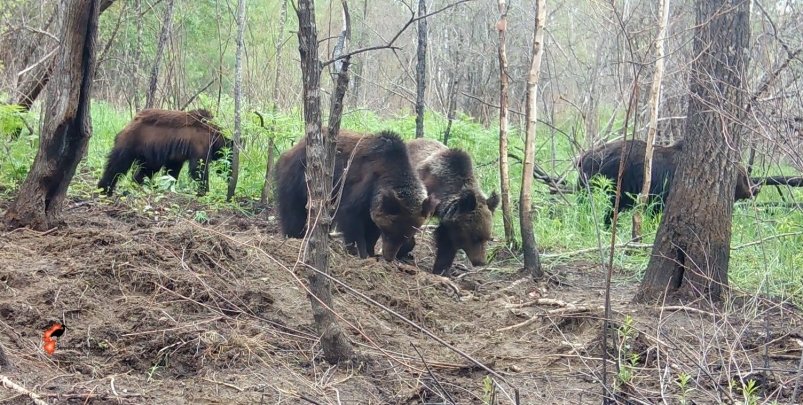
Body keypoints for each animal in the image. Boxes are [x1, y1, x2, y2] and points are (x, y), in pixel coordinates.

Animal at [97, 107, 231, 196]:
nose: (230, 176)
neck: (214, 135)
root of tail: (131, 121)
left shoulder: (177, 155)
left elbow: (172, 170)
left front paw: (168, 186)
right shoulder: (199, 144)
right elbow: (198, 168)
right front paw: (204, 191)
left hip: (150, 153)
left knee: (144, 170)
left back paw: (139, 185)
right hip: (131, 143)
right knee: (117, 164)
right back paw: (104, 188)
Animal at [276, 129, 440, 262]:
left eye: (407, 233)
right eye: (389, 232)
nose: (389, 257)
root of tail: (293, 148)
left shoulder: (374, 206)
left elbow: (372, 227)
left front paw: (370, 251)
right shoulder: (363, 186)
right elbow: (351, 216)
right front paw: (360, 252)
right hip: (299, 180)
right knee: (293, 212)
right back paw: (296, 236)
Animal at [406, 138, 500, 274]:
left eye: (488, 238)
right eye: (475, 237)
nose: (481, 262)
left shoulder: (449, 222)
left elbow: (446, 242)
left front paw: (441, 269)